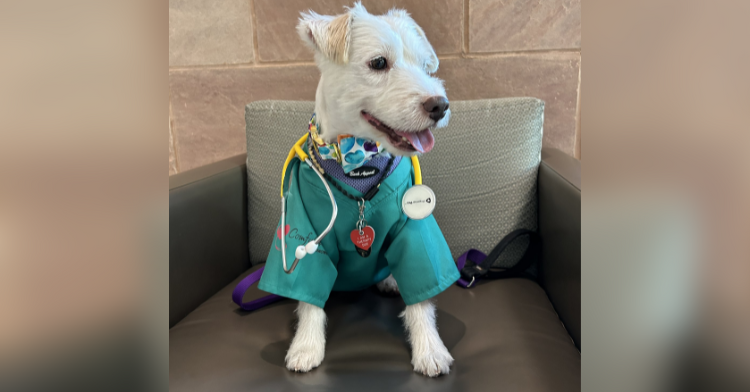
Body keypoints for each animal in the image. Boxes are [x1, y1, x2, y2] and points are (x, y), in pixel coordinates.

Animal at [282, 2, 452, 376]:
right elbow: (308, 293)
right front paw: (305, 346)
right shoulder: (303, 219)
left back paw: (389, 280)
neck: (358, 162)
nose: (440, 105)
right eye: (378, 63)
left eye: (424, 66)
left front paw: (430, 349)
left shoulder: (414, 228)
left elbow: (421, 290)